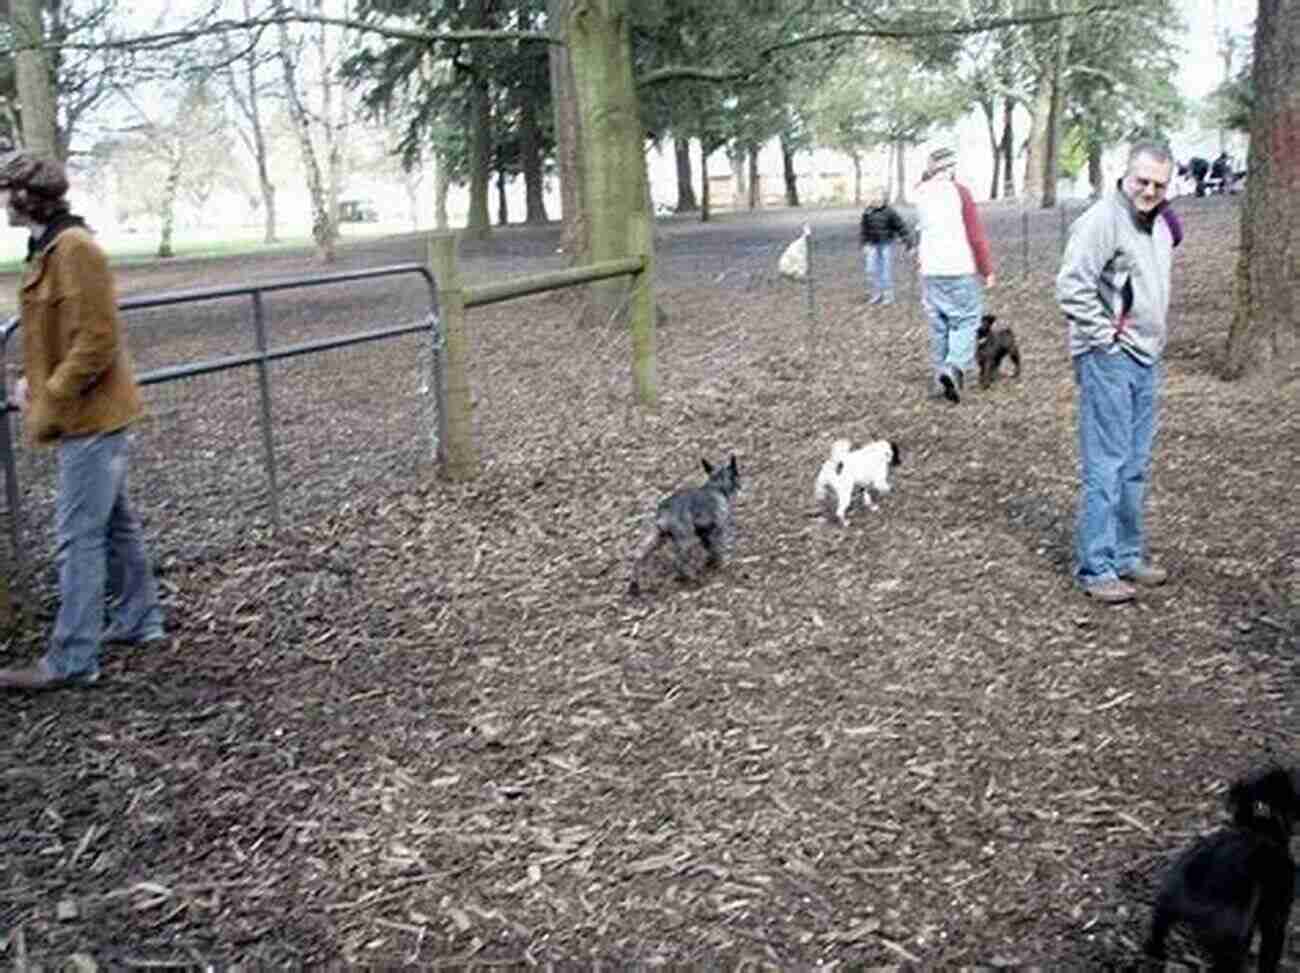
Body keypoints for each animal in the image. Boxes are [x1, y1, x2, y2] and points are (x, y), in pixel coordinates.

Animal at [629, 460, 743, 595]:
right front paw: (722, 562)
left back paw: (635, 584)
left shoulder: (704, 533)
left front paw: (711, 562)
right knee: (678, 562)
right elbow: (718, 546)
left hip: (657, 538)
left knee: (639, 556)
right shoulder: (719, 527)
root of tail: (664, 510)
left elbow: (710, 548)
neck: (716, 486)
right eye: (736, 473)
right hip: (686, 540)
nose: (740, 485)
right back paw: (692, 579)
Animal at [1144, 764, 1294, 967]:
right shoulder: (1277, 910)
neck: (1260, 829)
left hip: (1164, 907)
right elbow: (1270, 952)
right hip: (1233, 939)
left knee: (1156, 935)